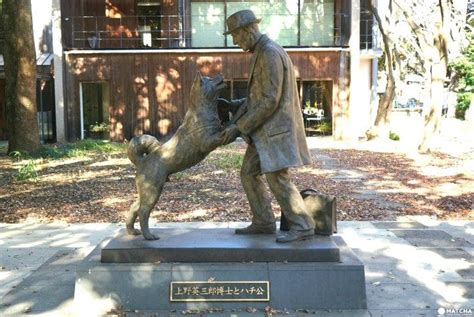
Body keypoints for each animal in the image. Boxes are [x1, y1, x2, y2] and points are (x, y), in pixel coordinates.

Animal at [125, 72, 227, 239]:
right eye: (210, 79)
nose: (220, 74)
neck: (202, 110)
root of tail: (142, 161)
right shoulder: (210, 141)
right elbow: (228, 130)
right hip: (153, 190)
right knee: (143, 212)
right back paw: (149, 236)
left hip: (145, 191)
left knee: (134, 209)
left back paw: (133, 231)